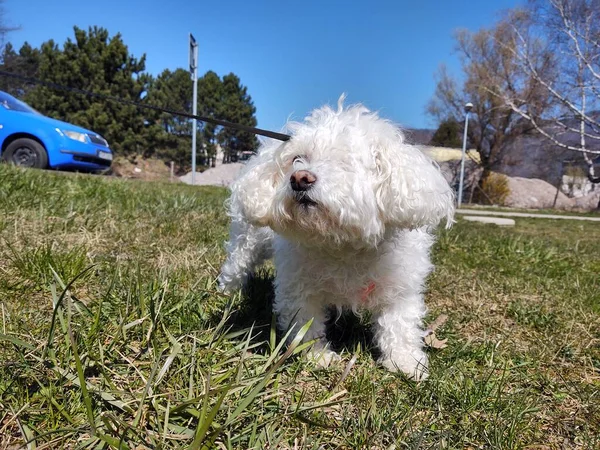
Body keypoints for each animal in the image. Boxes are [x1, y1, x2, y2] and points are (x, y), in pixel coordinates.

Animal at [218, 97, 452, 380]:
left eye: (344, 162)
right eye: (297, 159)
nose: (300, 178)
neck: (343, 243)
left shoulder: (401, 288)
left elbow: (400, 325)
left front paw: (405, 361)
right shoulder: (299, 288)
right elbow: (306, 324)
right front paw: (317, 356)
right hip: (247, 240)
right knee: (237, 264)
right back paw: (228, 292)